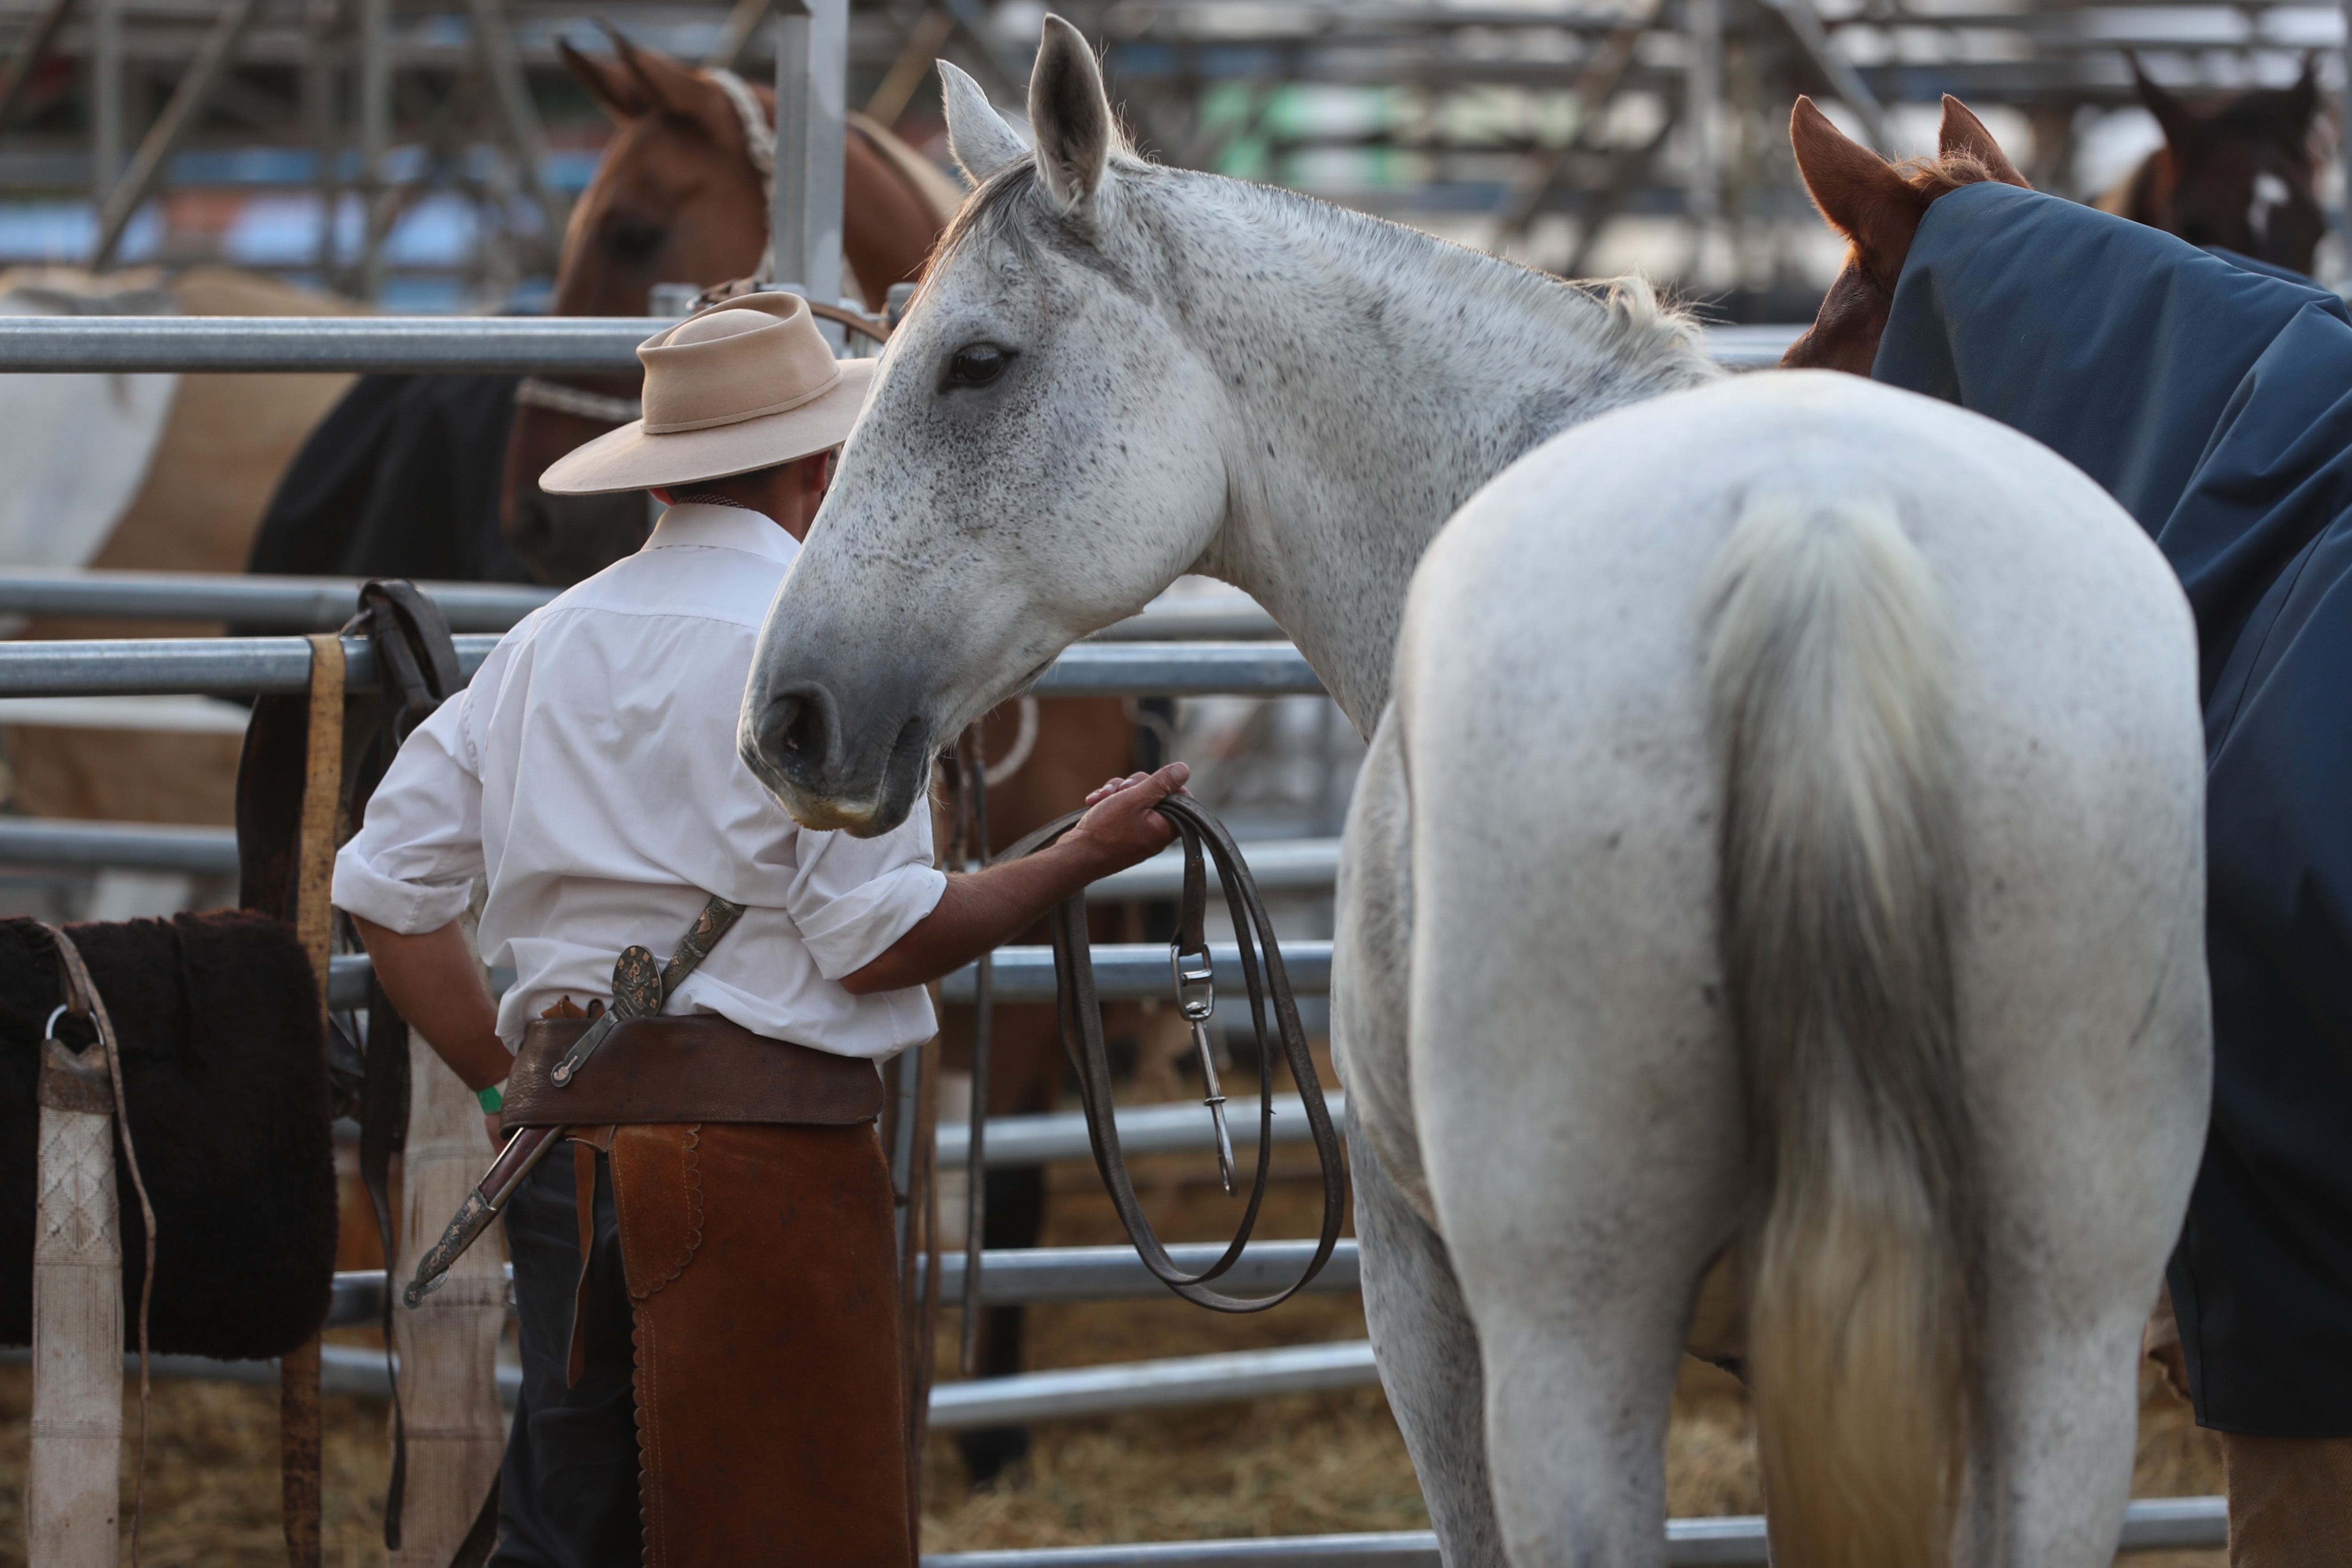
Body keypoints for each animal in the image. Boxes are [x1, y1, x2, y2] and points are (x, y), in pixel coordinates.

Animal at [732, 21, 2211, 1566]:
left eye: (976, 364)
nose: (788, 717)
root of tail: (1814, 526)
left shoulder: (1420, 1292)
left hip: (1572, 1346)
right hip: (2054, 1347)